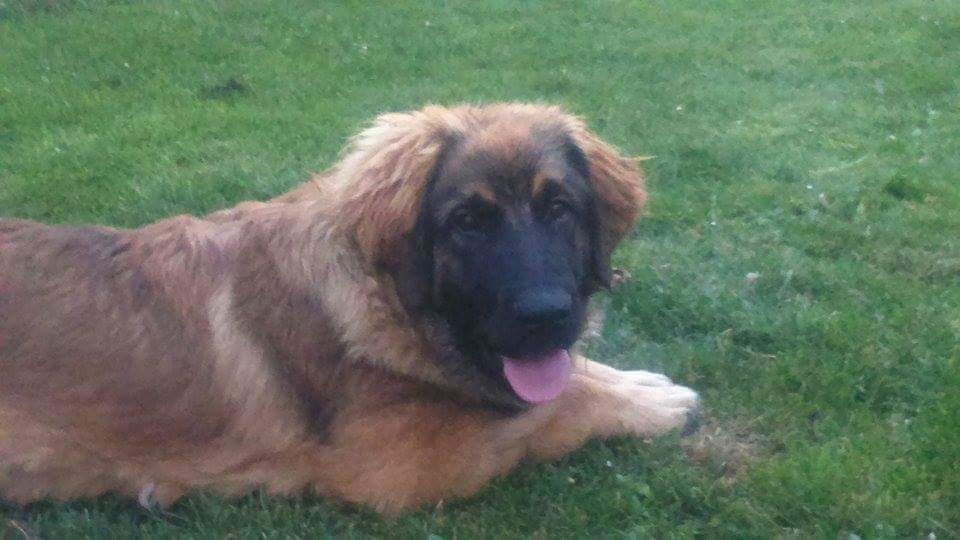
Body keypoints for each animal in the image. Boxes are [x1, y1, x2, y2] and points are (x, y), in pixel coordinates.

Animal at [0, 103, 698, 514]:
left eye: (559, 208)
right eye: (467, 222)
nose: (547, 315)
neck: (386, 302)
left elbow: (560, 384)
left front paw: (633, 381)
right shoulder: (399, 465)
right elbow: (546, 412)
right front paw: (652, 405)